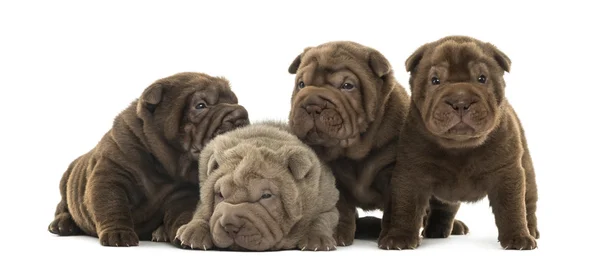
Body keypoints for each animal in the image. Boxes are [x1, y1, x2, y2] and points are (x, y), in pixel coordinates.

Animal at [46, 71, 248, 248]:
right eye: (200, 105)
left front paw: (183, 234)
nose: (240, 114)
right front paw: (119, 234)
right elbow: (112, 205)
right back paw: (61, 225)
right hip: (65, 184)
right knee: (63, 207)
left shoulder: (183, 193)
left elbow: (183, 214)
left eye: (234, 101)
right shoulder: (110, 177)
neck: (165, 166)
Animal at [176, 121, 340, 252]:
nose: (230, 225)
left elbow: (321, 219)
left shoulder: (327, 203)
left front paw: (317, 240)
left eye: (266, 196)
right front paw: (192, 232)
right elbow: (202, 212)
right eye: (220, 194)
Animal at [286, 40, 468, 246]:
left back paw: (443, 229)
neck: (354, 151)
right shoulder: (335, 178)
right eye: (301, 84)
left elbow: (396, 206)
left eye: (347, 85)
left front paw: (393, 238)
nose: (312, 104)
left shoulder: (394, 173)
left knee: (444, 206)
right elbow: (341, 209)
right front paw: (337, 235)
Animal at [380, 35, 540, 252]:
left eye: (482, 78)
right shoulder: (411, 173)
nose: (461, 101)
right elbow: (406, 206)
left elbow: (512, 208)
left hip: (527, 173)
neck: (460, 148)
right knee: (444, 208)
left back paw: (531, 230)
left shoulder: (506, 172)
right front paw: (399, 237)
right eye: (435, 80)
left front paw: (517, 238)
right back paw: (439, 230)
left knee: (528, 204)